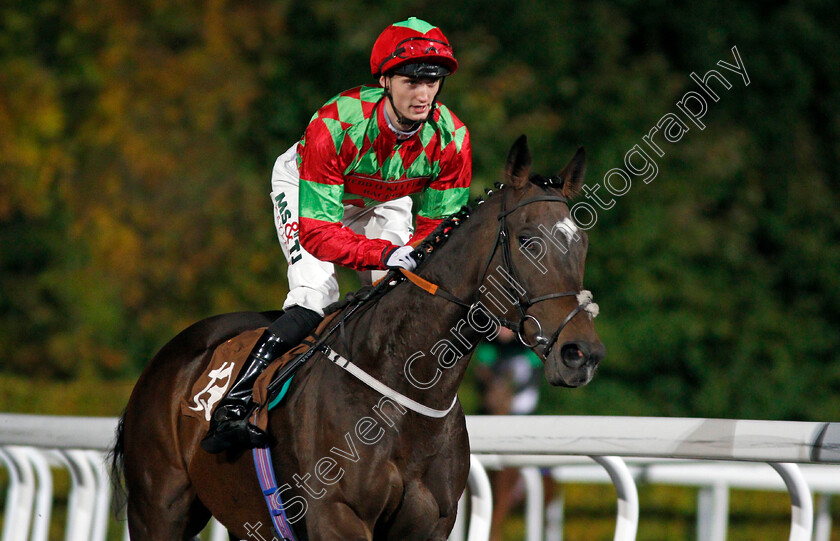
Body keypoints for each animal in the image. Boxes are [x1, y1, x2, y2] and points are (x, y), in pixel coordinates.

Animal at [113, 137, 604, 536]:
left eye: (582, 243)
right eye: (528, 241)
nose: (582, 354)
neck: (405, 391)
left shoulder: (430, 524)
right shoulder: (337, 516)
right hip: (158, 509)